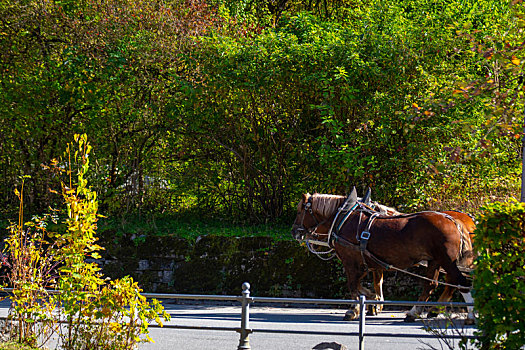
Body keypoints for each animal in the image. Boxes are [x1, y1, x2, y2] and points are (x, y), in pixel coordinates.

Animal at [290, 190, 474, 324]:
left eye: (300, 211)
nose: (294, 231)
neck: (344, 218)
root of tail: (454, 221)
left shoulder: (351, 262)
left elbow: (353, 285)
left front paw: (354, 310)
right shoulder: (366, 263)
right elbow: (365, 285)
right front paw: (373, 300)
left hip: (446, 260)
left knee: (461, 283)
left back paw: (469, 315)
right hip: (434, 261)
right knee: (431, 285)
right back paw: (415, 312)